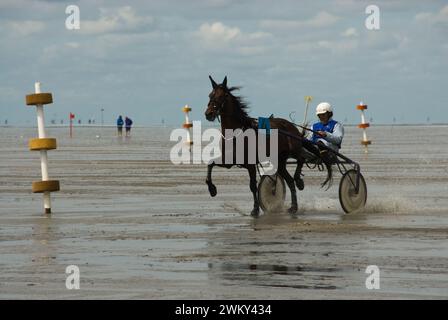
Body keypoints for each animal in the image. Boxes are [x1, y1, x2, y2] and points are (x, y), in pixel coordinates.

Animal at [205, 77, 330, 218]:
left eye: (223, 96)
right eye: (210, 95)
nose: (208, 113)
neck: (235, 134)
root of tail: (290, 125)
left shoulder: (250, 164)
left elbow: (253, 186)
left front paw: (255, 209)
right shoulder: (229, 161)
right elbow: (210, 164)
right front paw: (212, 189)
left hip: (293, 150)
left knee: (301, 160)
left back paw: (299, 181)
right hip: (280, 161)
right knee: (289, 180)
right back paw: (293, 207)